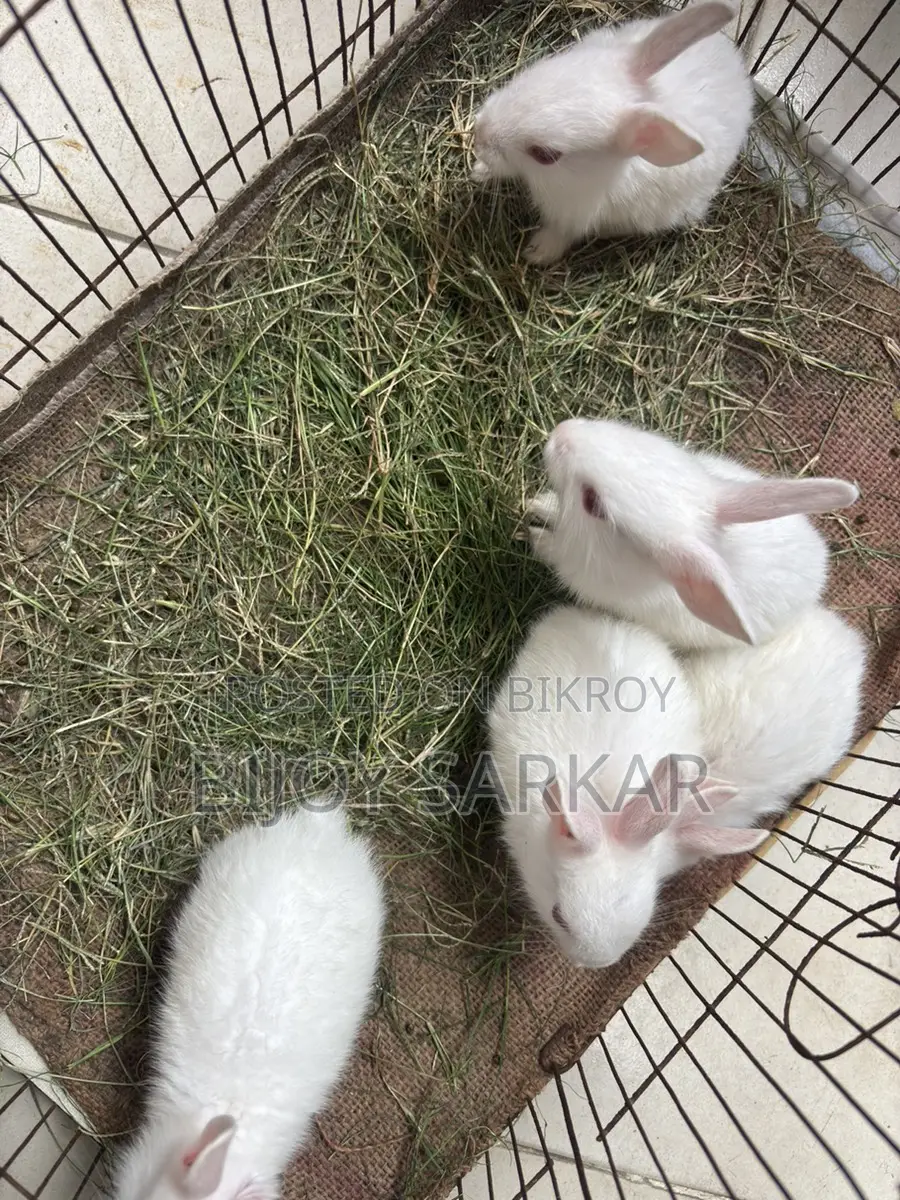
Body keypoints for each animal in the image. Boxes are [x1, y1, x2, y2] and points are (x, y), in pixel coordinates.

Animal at [470, 1, 754, 264]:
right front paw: (478, 171)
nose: (478, 134)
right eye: (540, 69)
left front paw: (537, 252)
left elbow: (563, 232)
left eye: (545, 155)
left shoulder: (575, 214)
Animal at [524, 416, 860, 649]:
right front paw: (536, 502)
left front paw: (532, 536)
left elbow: (551, 546)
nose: (561, 430)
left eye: (592, 501)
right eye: (644, 441)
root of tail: (820, 566)